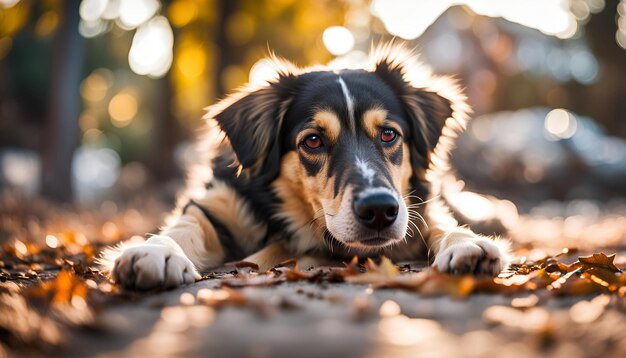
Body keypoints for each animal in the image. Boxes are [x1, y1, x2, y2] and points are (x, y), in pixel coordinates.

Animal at [101, 43, 508, 290]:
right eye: (312, 141)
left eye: (389, 134)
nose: (379, 210)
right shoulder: (216, 207)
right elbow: (183, 227)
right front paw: (156, 252)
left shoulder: (413, 209)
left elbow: (440, 223)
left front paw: (467, 243)